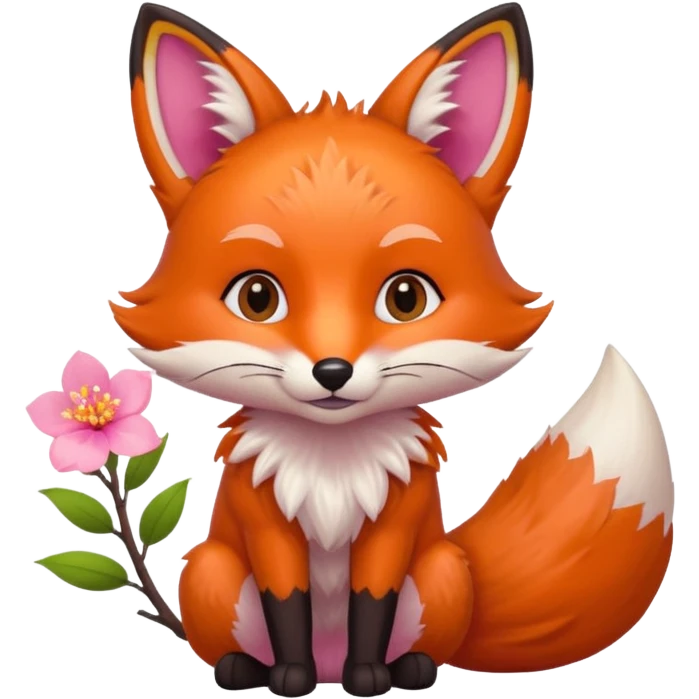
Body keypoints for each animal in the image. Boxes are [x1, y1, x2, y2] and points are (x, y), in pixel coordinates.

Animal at [116, 2, 675, 696]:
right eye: (257, 297)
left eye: (405, 298)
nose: (332, 371)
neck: (331, 467)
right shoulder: (267, 526)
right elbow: (288, 604)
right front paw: (291, 677)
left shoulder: (394, 528)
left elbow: (370, 604)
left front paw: (369, 677)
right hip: (210, 569)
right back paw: (248, 668)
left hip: (442, 571)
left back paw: (409, 668)